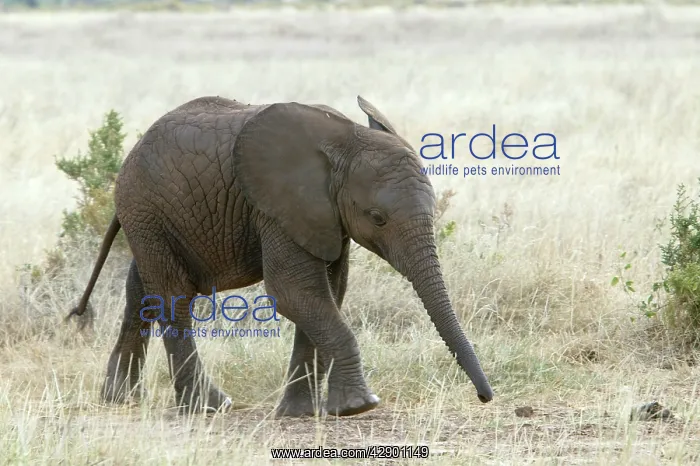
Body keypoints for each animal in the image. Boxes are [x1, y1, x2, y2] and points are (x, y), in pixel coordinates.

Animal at [66, 95, 494, 417]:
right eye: (378, 218)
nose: (485, 397)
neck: (344, 141)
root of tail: (131, 154)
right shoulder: (276, 209)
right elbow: (294, 293)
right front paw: (359, 406)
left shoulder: (325, 217)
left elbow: (327, 295)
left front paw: (301, 414)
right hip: (146, 208)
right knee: (173, 296)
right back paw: (209, 407)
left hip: (153, 217)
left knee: (141, 289)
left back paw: (120, 398)